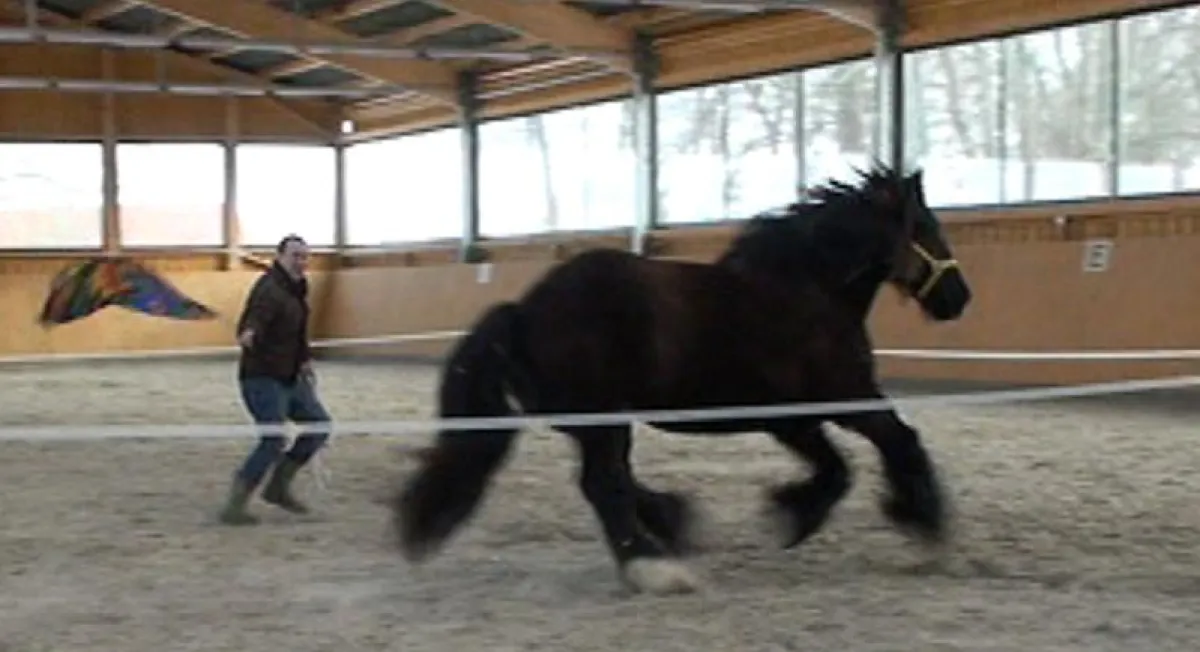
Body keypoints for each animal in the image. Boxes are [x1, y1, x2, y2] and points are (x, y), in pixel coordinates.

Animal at [391, 163, 972, 595]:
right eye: (926, 227)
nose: (959, 298)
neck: (809, 289)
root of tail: (525, 310)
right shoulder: (847, 400)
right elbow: (899, 441)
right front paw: (924, 523)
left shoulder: (792, 421)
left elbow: (837, 470)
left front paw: (792, 514)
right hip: (603, 420)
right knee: (603, 486)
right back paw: (655, 569)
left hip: (594, 423)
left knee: (616, 482)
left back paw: (671, 526)